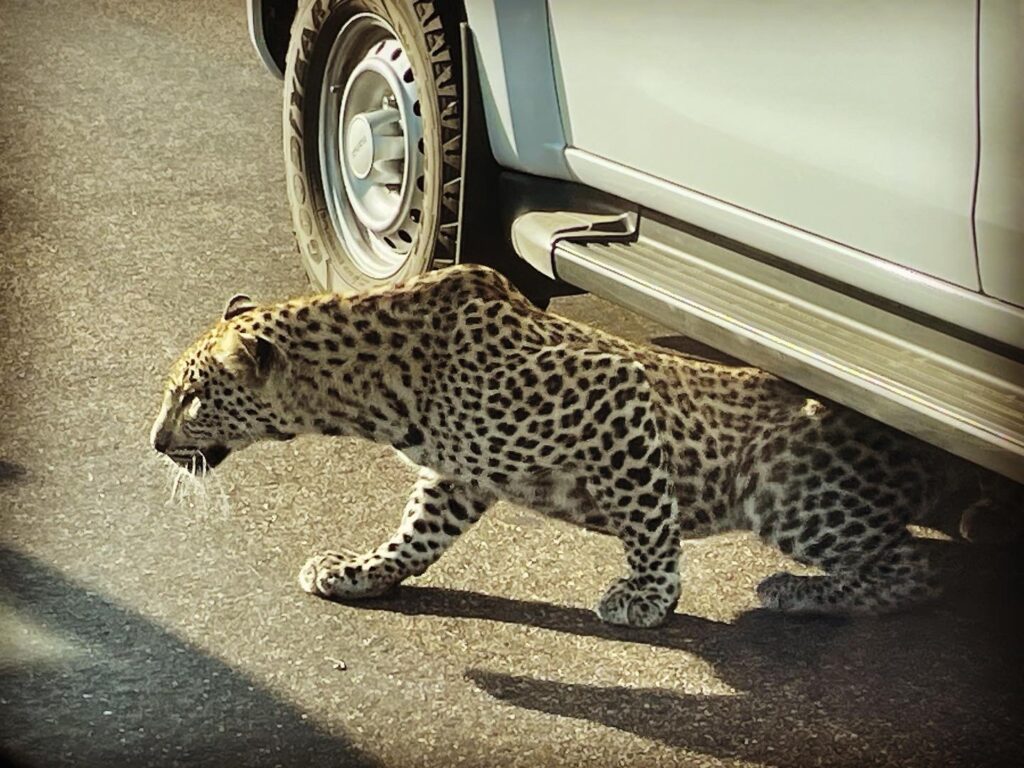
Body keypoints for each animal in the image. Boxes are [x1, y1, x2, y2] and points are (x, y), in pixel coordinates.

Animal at [149, 264, 1007, 626]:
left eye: (191, 397)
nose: (155, 442)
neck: (373, 389)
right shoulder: (459, 473)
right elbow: (417, 534)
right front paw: (362, 572)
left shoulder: (616, 396)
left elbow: (650, 522)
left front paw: (649, 600)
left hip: (785, 492)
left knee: (919, 567)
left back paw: (803, 594)